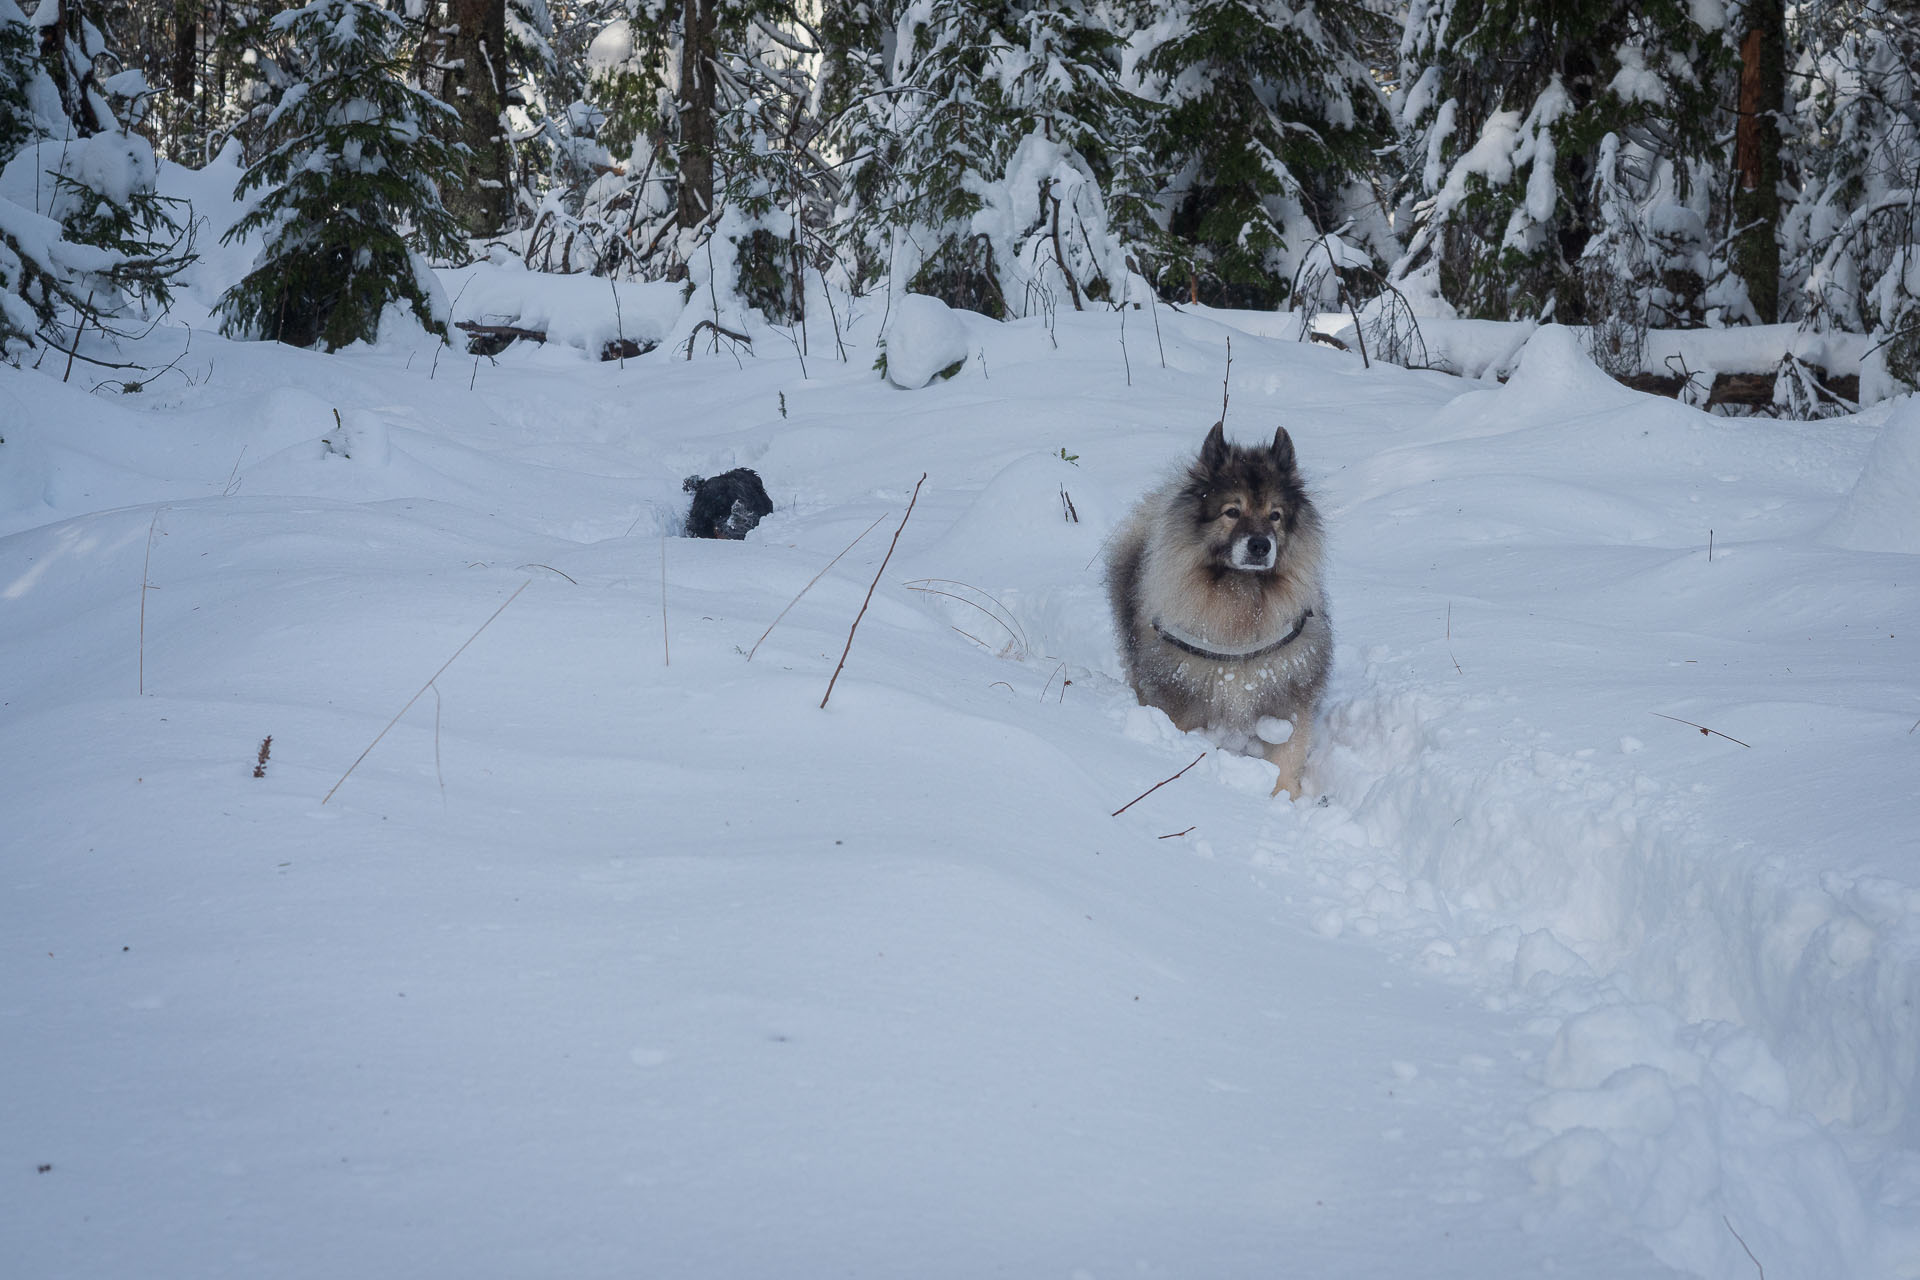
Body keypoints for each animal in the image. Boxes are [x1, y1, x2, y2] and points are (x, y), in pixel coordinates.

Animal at [1105, 422, 1328, 802]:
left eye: (1275, 515)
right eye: (1232, 511)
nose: (1260, 545)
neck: (1241, 595)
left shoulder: (1286, 698)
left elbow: (1287, 755)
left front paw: (1283, 796)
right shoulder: (1183, 700)